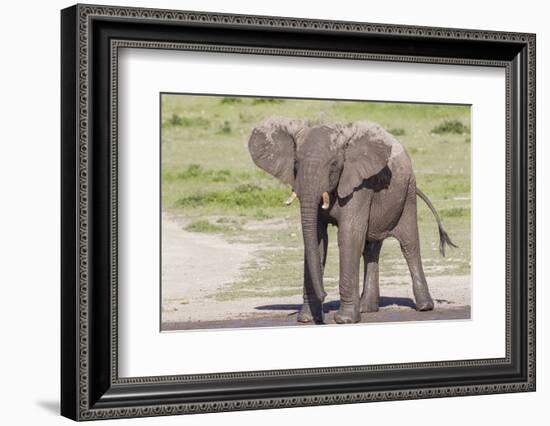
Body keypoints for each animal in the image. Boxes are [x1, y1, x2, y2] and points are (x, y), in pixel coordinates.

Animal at [249, 115, 458, 322]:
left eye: (334, 165)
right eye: (295, 165)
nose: (324, 295)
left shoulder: (359, 185)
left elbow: (349, 236)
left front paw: (344, 320)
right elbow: (317, 240)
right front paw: (307, 319)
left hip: (408, 192)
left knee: (409, 244)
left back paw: (424, 307)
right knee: (371, 248)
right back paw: (367, 309)